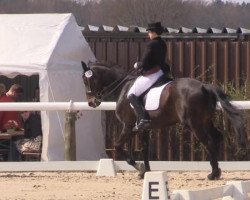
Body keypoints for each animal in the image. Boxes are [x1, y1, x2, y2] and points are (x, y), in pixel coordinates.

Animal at [81, 61, 248, 180]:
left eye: (87, 80)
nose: (91, 103)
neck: (124, 88)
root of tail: (203, 86)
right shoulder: (141, 128)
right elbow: (144, 149)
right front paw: (145, 172)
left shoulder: (127, 126)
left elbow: (118, 147)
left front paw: (140, 168)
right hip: (205, 121)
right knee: (217, 137)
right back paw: (217, 171)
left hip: (195, 124)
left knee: (209, 142)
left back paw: (213, 174)